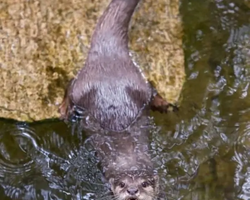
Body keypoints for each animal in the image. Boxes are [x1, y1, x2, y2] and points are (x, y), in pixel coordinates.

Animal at [59, 0, 170, 199]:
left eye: (144, 183)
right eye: (122, 184)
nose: (132, 191)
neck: (128, 156)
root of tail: (108, 53)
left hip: (137, 84)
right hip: (83, 88)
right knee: (70, 84)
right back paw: (64, 109)